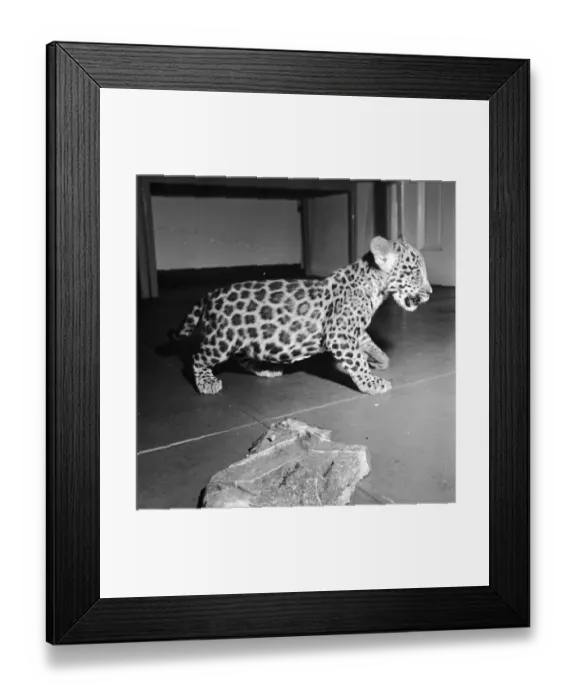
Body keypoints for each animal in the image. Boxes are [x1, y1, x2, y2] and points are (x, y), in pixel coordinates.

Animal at [170, 236, 433, 396]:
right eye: (415, 273)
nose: (430, 292)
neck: (373, 288)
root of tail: (212, 293)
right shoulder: (339, 335)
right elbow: (356, 361)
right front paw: (372, 383)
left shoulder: (351, 332)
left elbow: (369, 344)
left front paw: (379, 360)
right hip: (223, 339)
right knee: (198, 357)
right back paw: (206, 382)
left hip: (247, 337)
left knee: (242, 357)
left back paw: (264, 368)